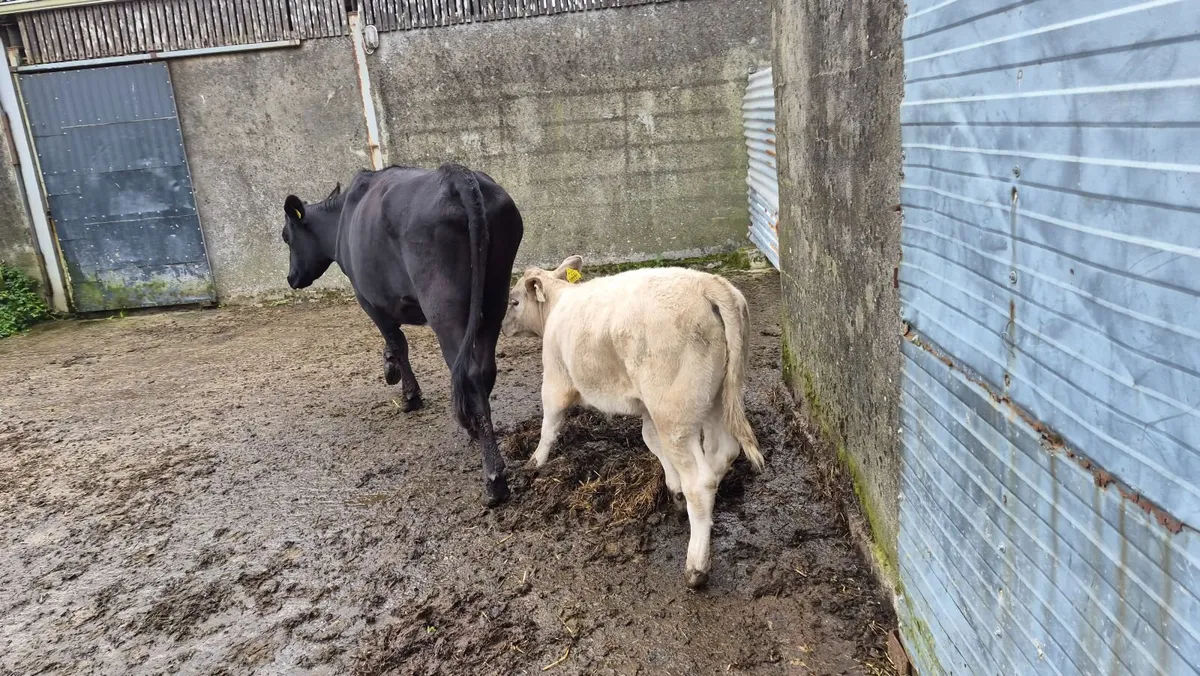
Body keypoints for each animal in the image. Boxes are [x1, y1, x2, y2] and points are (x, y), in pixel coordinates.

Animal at [281, 164, 523, 506]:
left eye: (286, 237)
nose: (291, 278)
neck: (342, 218)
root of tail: (455, 175)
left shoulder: (370, 301)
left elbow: (397, 343)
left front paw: (407, 391)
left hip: (443, 306)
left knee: (469, 373)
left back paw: (493, 479)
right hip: (495, 296)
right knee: (485, 368)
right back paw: (473, 429)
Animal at [501, 257, 765, 588]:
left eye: (514, 301)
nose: (502, 327)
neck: (559, 302)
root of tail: (708, 283)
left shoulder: (555, 381)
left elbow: (549, 425)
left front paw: (535, 462)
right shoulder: (647, 409)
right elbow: (651, 441)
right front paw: (673, 488)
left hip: (674, 412)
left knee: (700, 482)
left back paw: (696, 567)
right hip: (717, 396)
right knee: (722, 453)